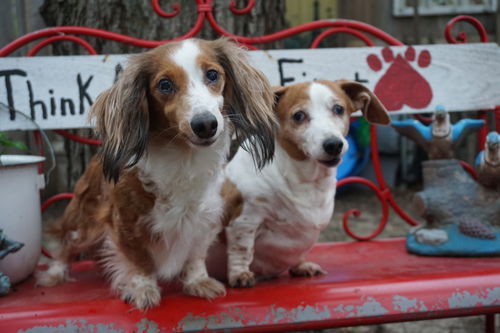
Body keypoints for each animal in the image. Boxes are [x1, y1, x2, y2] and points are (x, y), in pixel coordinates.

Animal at [36, 38, 276, 308]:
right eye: (165, 85)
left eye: (213, 74)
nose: (205, 125)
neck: (184, 160)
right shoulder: (125, 223)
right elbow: (140, 260)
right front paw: (143, 289)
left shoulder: (205, 220)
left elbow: (195, 255)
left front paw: (198, 281)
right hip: (84, 222)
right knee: (68, 243)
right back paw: (56, 272)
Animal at [217, 80, 388, 286]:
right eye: (298, 116)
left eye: (338, 109)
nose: (333, 144)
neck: (306, 181)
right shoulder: (244, 220)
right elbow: (242, 250)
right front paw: (240, 275)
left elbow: (299, 252)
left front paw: (302, 265)